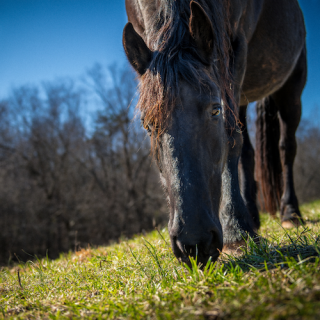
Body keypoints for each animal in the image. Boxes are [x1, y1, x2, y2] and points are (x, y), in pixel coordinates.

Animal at [122, 0, 304, 268]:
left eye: (215, 110)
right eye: (147, 125)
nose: (194, 244)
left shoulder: (236, 49)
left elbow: (231, 139)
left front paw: (237, 233)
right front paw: (242, 225)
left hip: (290, 88)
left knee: (287, 148)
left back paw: (290, 213)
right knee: (248, 153)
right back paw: (253, 217)